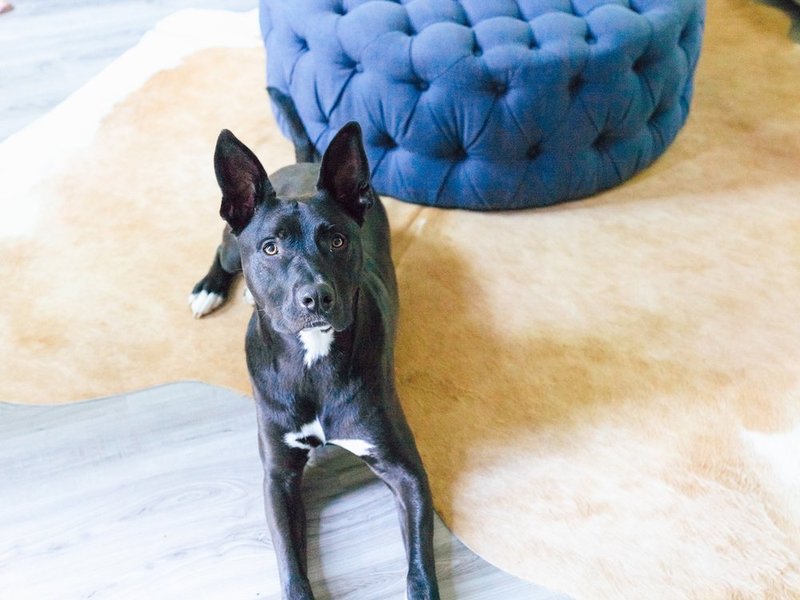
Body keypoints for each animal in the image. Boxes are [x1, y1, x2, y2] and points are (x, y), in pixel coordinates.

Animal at [191, 122, 440, 600]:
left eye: (338, 240)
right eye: (270, 248)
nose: (316, 297)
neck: (312, 358)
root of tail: (305, 163)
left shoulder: (406, 470)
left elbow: (420, 566)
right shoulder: (278, 478)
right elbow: (292, 567)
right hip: (231, 241)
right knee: (222, 255)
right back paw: (209, 288)